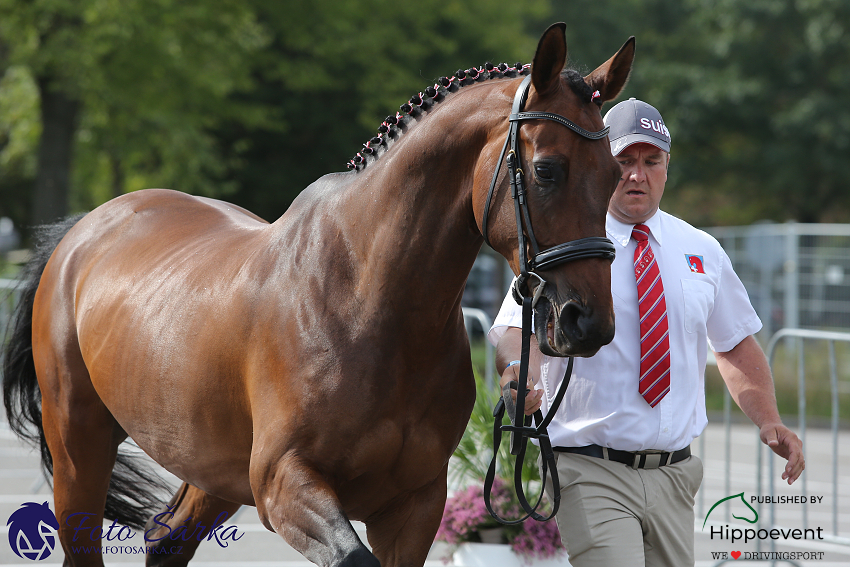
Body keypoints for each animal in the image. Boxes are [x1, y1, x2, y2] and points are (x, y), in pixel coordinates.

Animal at [3, 24, 632, 564]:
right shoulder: (286, 485)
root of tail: (83, 232)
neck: (368, 305)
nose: (586, 322)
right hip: (79, 446)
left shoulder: (414, 506)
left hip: (214, 469)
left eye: (613, 175)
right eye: (547, 169)